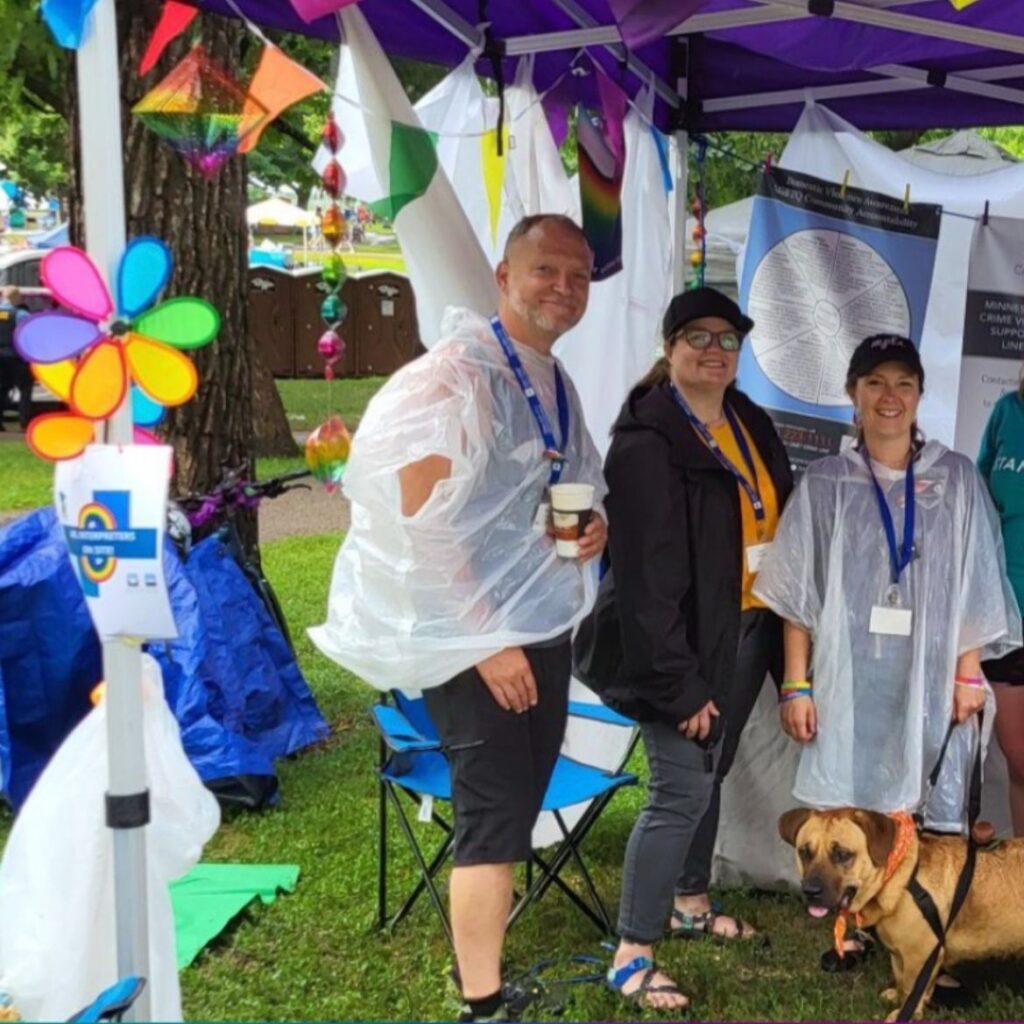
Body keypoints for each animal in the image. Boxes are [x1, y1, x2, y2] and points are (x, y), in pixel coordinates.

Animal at [778, 806, 1024, 1015]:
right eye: (804, 852)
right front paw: (899, 997)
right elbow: (902, 980)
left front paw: (906, 1012)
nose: (810, 891)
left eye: (843, 854)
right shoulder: (900, 954)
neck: (899, 877)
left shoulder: (920, 955)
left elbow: (912, 989)